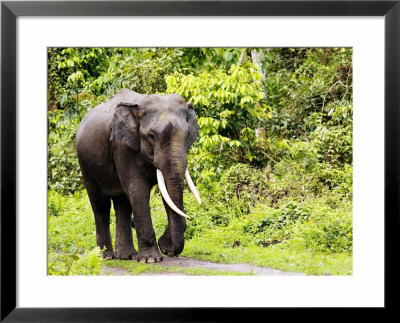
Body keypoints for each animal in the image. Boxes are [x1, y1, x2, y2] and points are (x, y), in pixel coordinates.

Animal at [76, 88, 200, 264]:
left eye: (187, 134)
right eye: (152, 136)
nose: (170, 252)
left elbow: (166, 193)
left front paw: (164, 248)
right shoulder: (122, 146)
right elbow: (138, 190)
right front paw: (151, 260)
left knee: (122, 204)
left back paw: (127, 256)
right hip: (85, 163)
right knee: (101, 205)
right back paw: (107, 256)